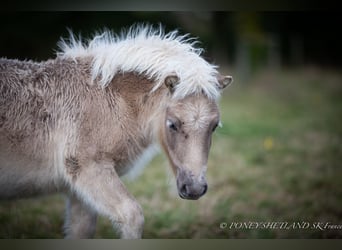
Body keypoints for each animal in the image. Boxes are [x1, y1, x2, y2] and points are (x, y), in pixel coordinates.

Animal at [0, 25, 232, 238]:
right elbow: (132, 216)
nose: (194, 189)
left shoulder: (79, 192)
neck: (105, 98)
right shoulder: (91, 170)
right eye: (172, 124)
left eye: (214, 125)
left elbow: (81, 230)